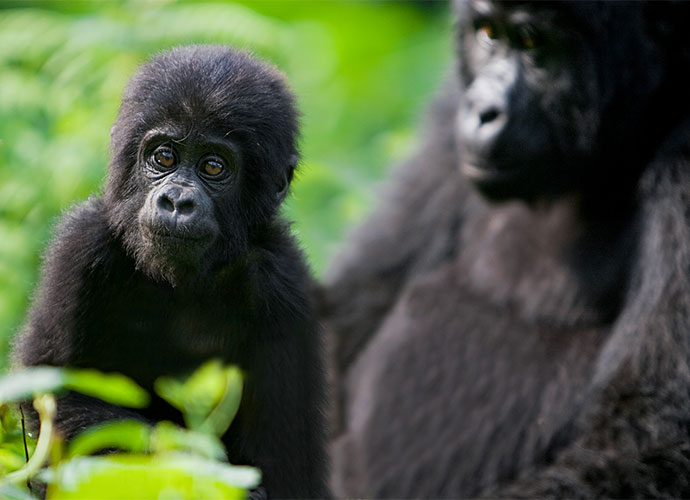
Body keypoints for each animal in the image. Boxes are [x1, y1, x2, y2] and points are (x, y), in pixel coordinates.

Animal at [14, 45, 326, 498]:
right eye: (163, 157)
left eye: (213, 167)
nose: (177, 201)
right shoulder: (81, 244)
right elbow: (55, 392)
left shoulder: (287, 286)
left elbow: (289, 470)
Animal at [322, 1, 690, 498]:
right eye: (488, 34)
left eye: (533, 42)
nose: (481, 110)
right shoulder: (447, 114)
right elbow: (347, 308)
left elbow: (651, 449)